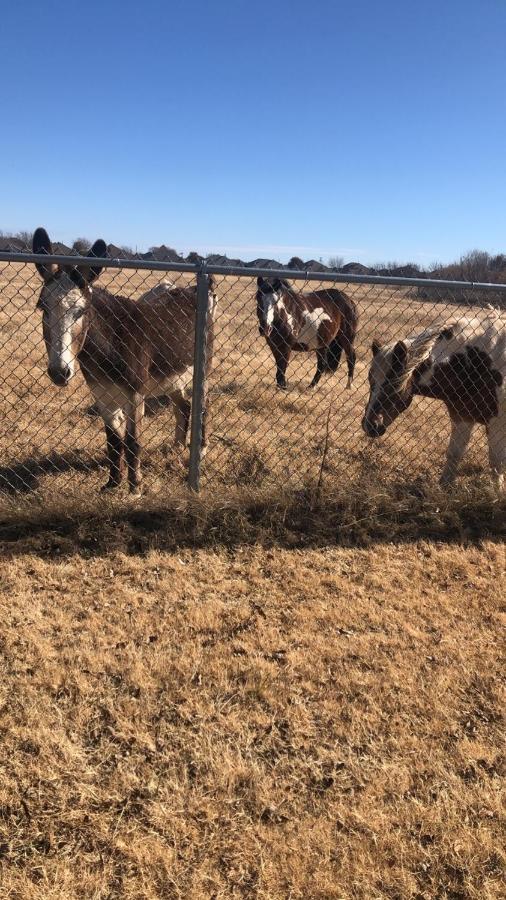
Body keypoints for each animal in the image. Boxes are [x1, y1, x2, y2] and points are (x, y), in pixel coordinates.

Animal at [31, 225, 217, 492]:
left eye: (81, 312)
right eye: (42, 308)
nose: (59, 373)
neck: (108, 348)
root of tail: (189, 290)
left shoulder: (135, 396)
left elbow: (132, 441)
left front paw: (135, 487)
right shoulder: (102, 396)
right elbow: (113, 441)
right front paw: (112, 483)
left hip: (201, 370)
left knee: (203, 406)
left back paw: (200, 449)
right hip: (173, 376)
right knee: (183, 406)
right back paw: (177, 448)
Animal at [364, 312, 506, 492]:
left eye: (394, 383)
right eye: (370, 380)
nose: (370, 425)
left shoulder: (497, 424)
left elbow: (496, 464)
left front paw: (497, 493)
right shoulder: (462, 416)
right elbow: (454, 454)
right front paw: (444, 489)